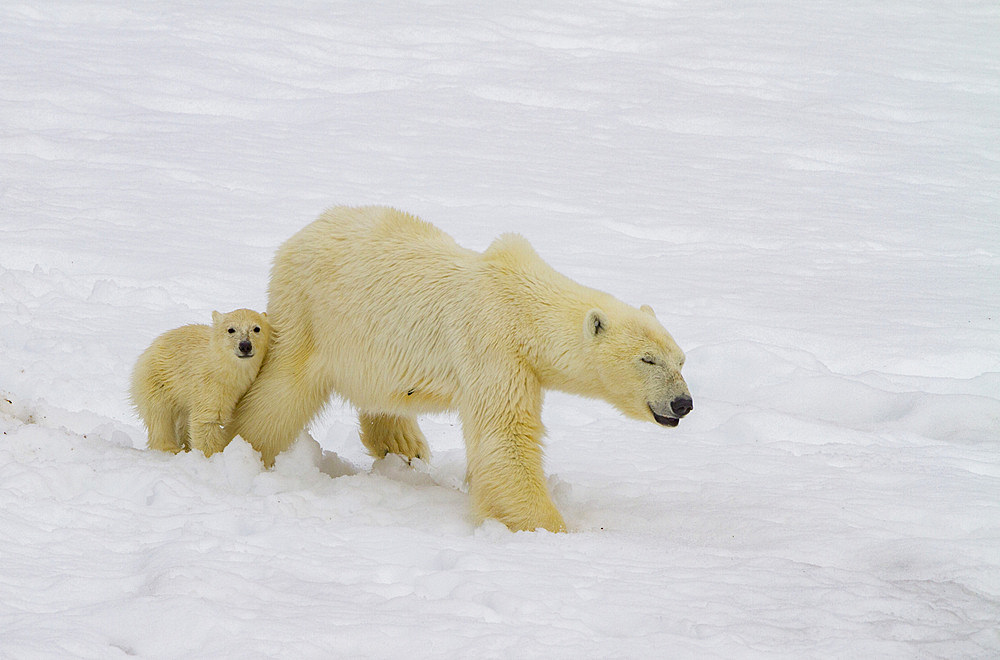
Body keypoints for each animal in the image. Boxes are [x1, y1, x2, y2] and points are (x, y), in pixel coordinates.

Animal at [230, 206, 692, 532]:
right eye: (647, 359)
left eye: (681, 359)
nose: (683, 403)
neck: (522, 303)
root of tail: (301, 234)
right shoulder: (493, 346)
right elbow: (505, 437)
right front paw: (550, 528)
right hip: (311, 315)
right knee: (282, 391)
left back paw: (405, 444)